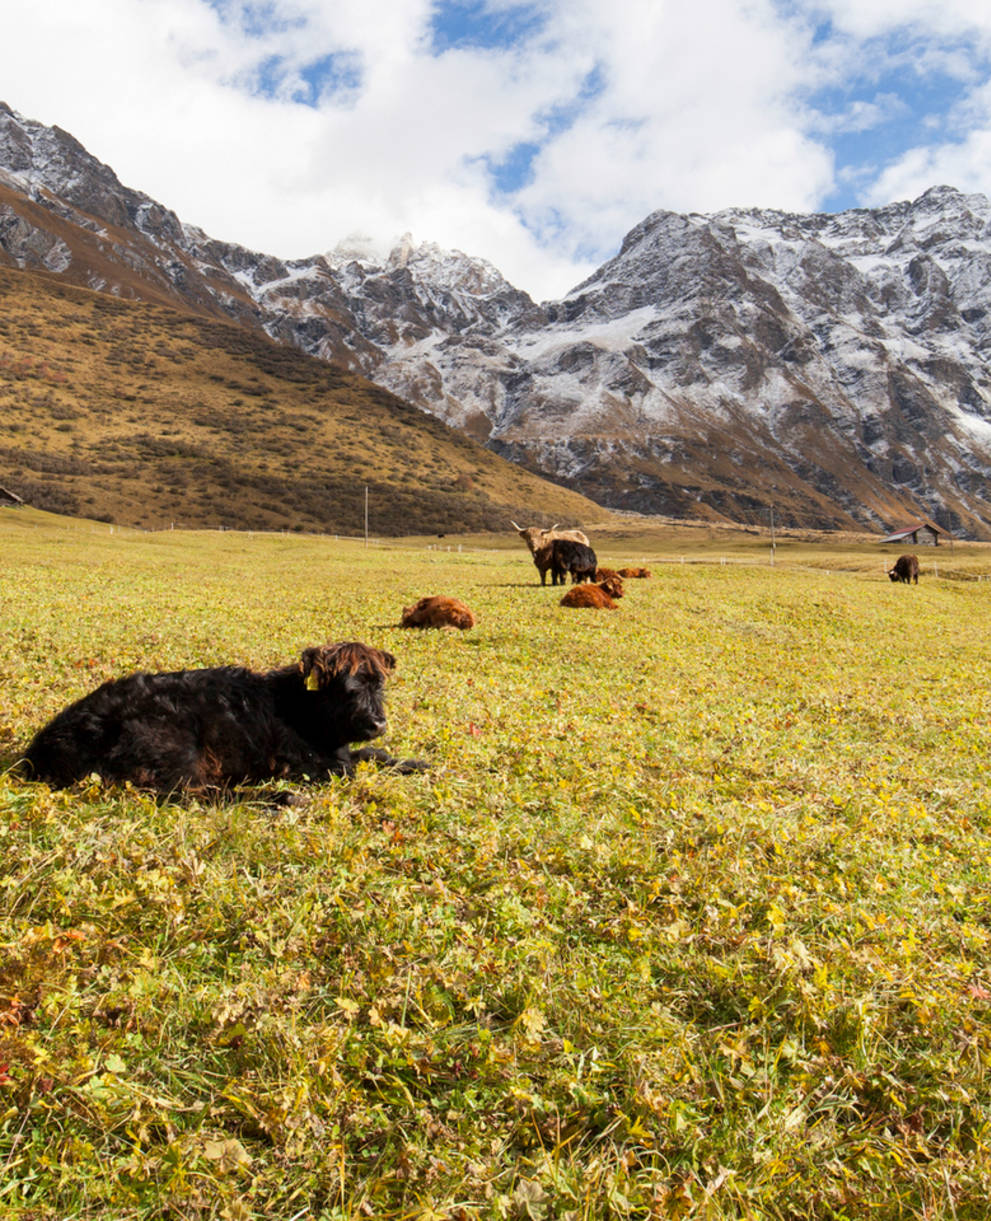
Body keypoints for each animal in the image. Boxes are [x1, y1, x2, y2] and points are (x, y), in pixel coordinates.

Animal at [19, 639, 422, 800]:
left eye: (379, 684)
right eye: (346, 688)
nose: (377, 723)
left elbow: (375, 755)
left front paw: (419, 764)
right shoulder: (302, 762)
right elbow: (351, 768)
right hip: (171, 747)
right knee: (191, 795)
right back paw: (282, 798)